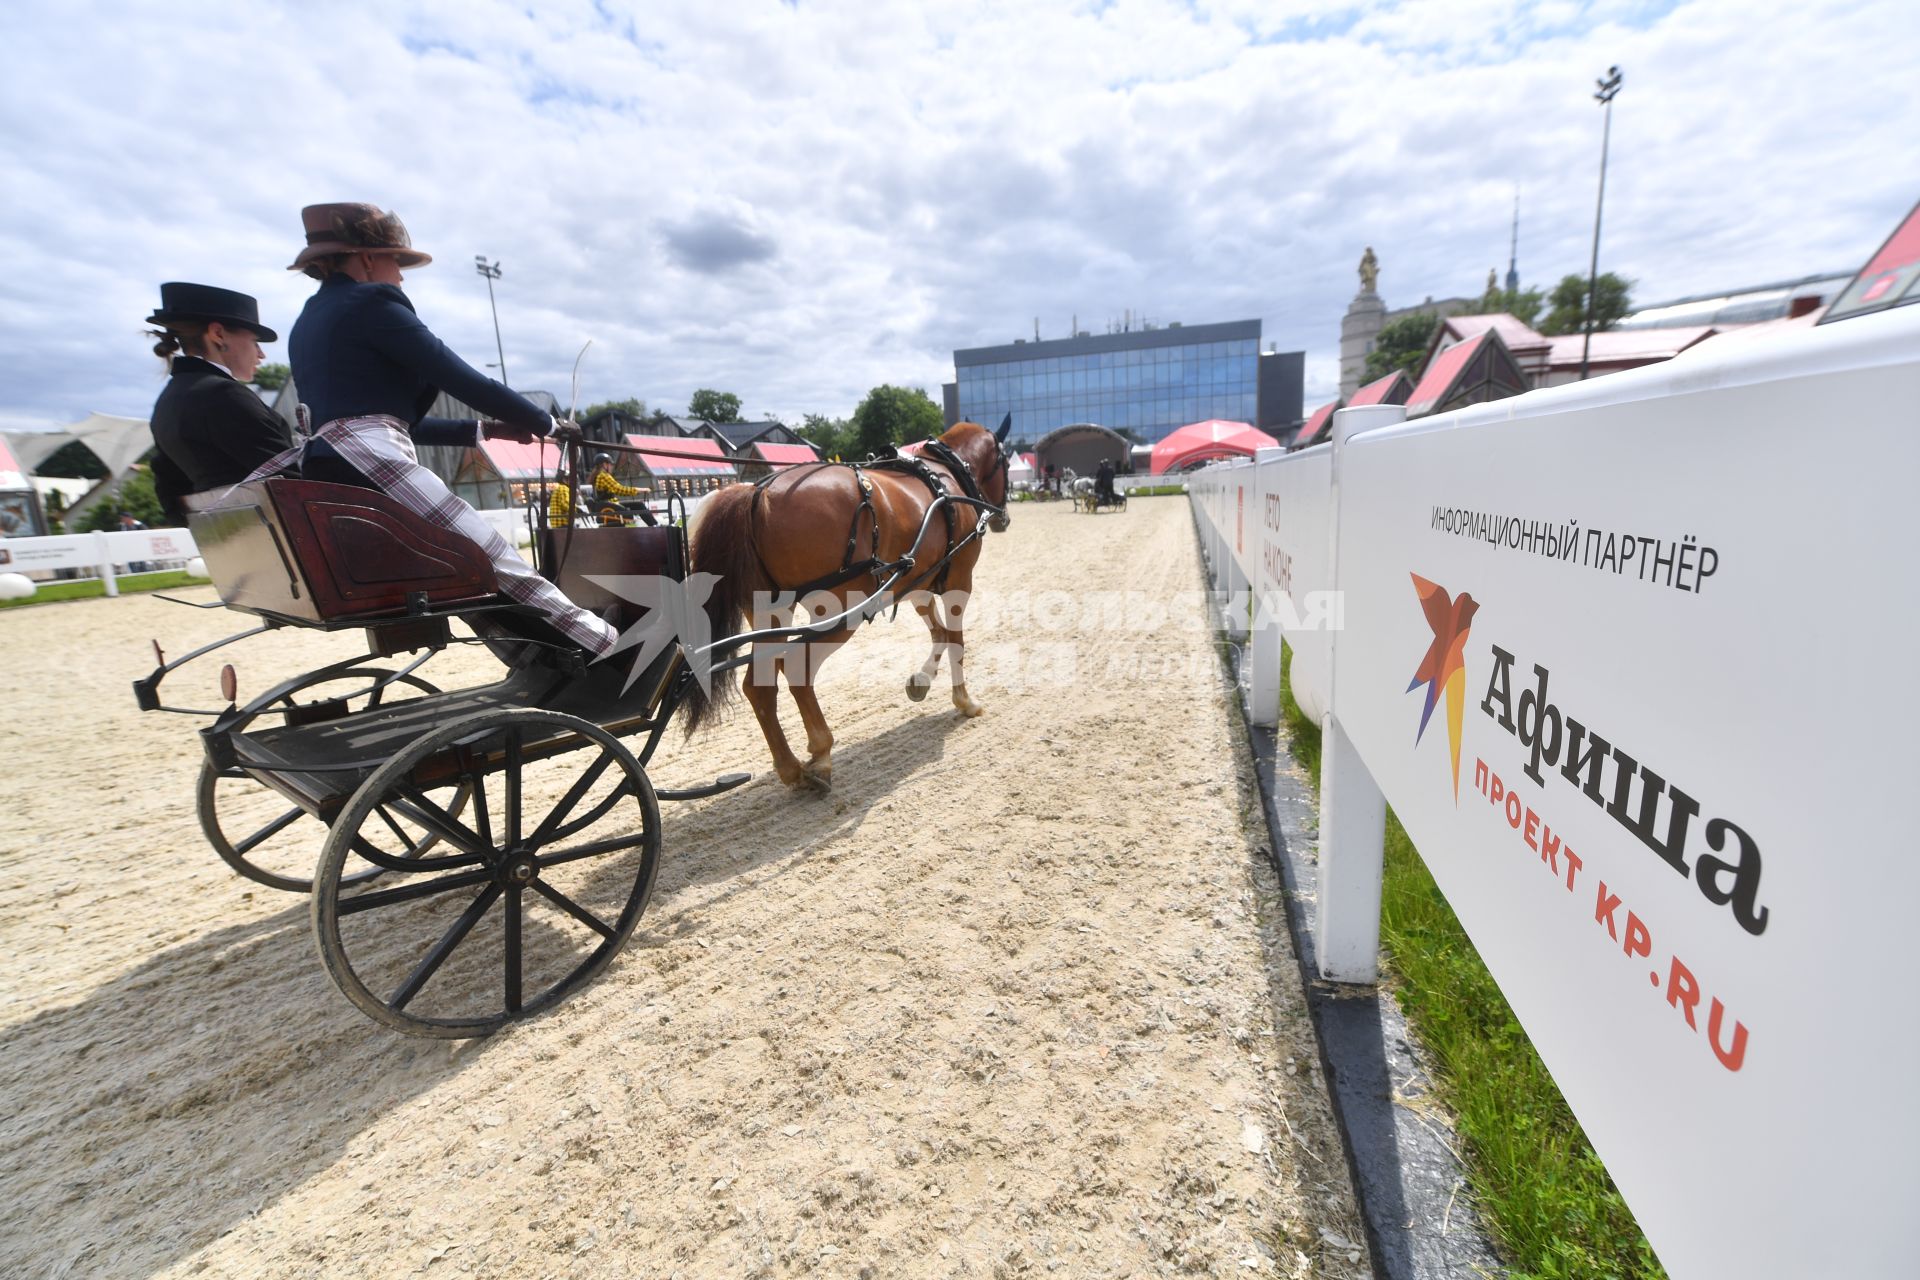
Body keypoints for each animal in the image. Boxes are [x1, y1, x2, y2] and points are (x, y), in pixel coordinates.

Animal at [691, 420, 1021, 790]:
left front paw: (921, 681)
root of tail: (757, 494)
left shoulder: (916, 583)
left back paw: (790, 768)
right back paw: (821, 754)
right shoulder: (959, 581)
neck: (945, 475)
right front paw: (965, 701)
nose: (1003, 519)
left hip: (770, 615)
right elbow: (956, 641)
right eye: (1005, 462)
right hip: (838, 614)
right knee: (798, 669)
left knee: (759, 686)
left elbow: (938, 634)